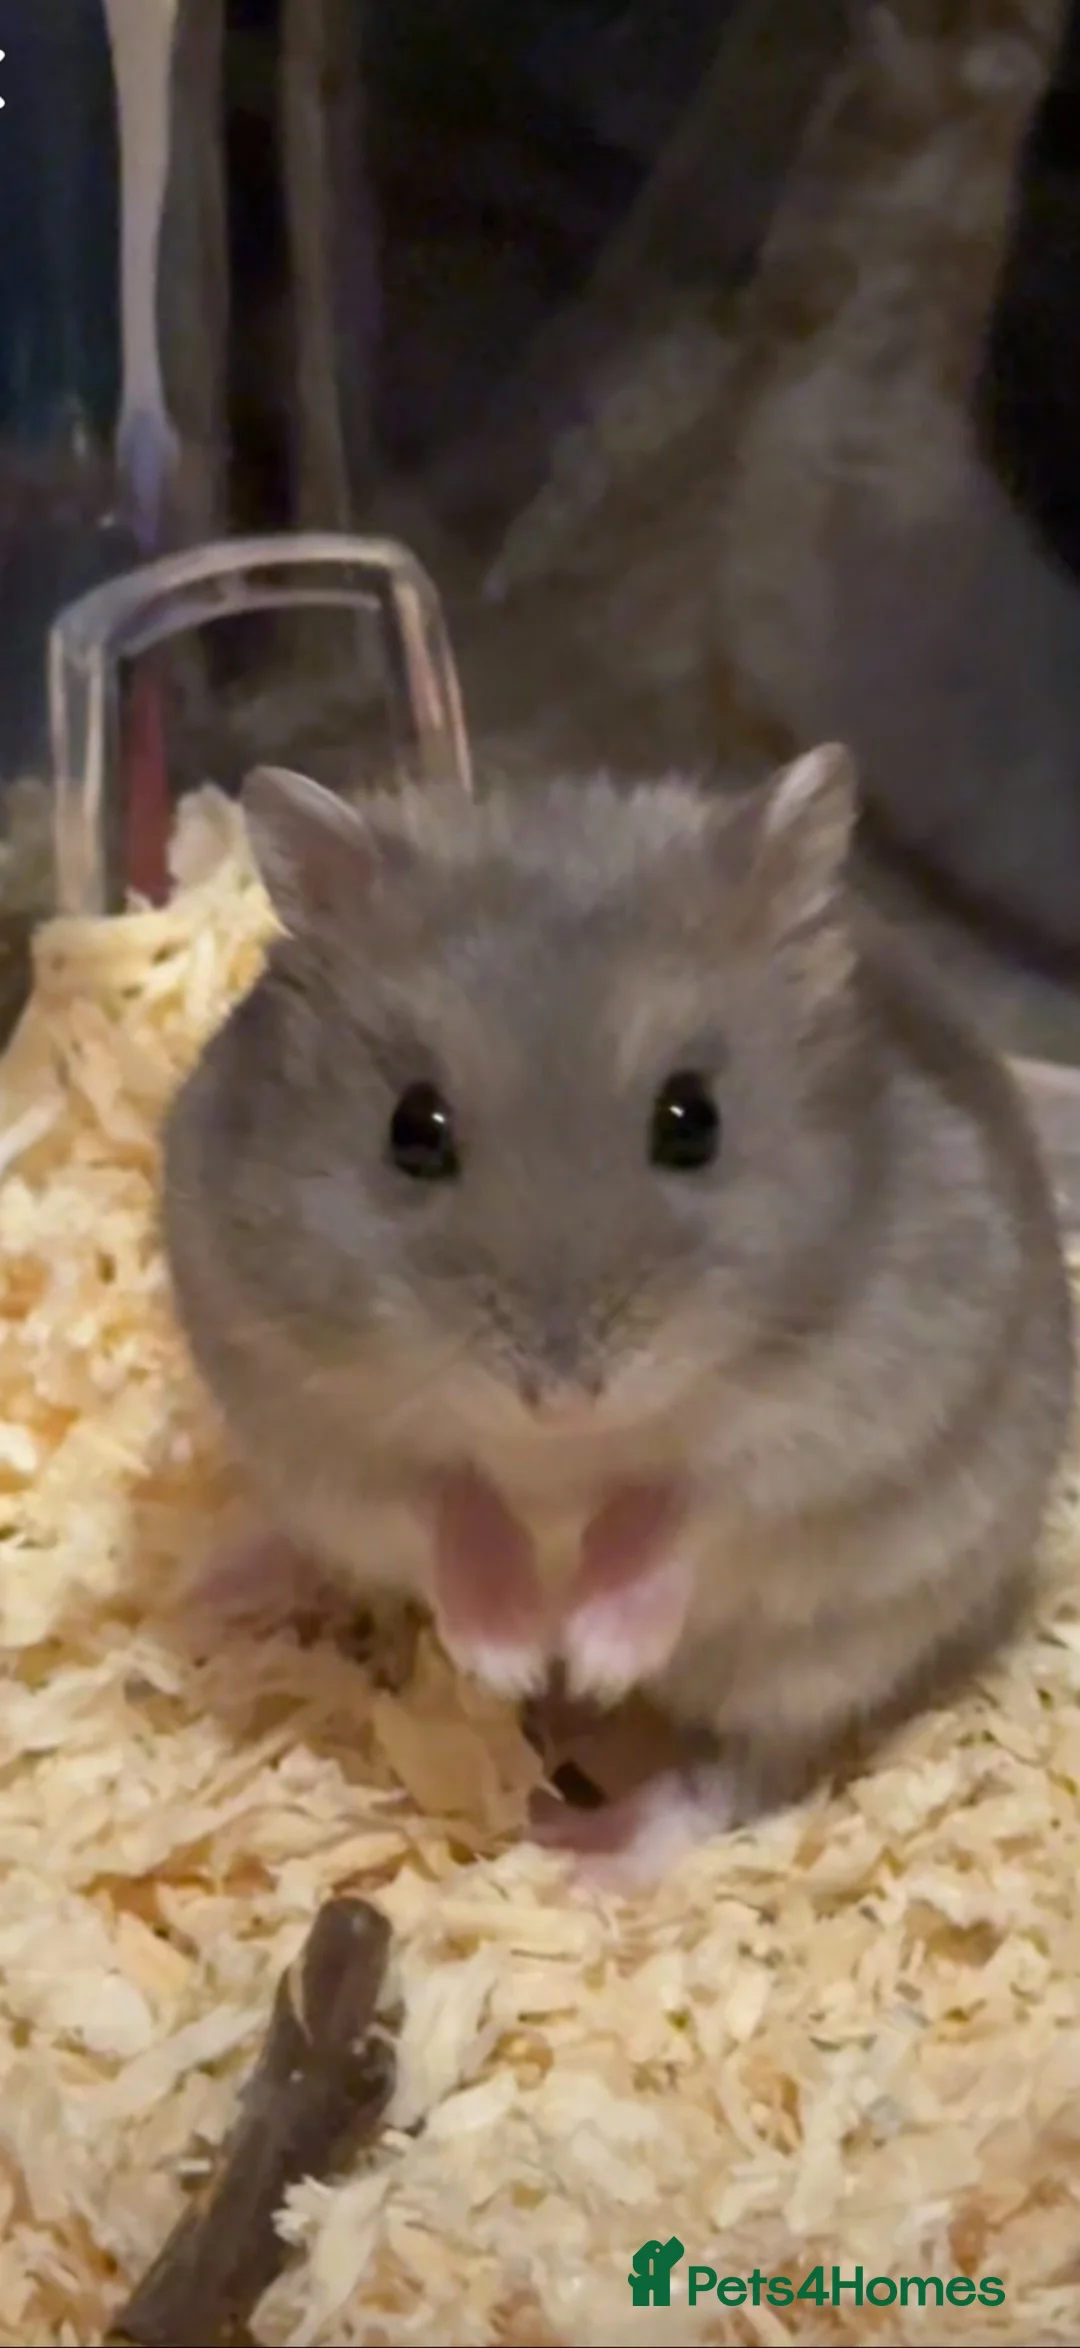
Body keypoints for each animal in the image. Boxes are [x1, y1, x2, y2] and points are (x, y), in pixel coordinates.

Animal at [160, 748, 1075, 1887]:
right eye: (413, 1128)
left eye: (693, 1119)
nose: (560, 1390)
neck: (561, 1457)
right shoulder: (300, 1393)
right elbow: (445, 1494)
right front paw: (514, 1656)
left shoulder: (845, 1421)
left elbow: (685, 1504)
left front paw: (591, 1655)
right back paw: (218, 1583)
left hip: (832, 1653)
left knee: (743, 1774)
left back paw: (587, 1851)